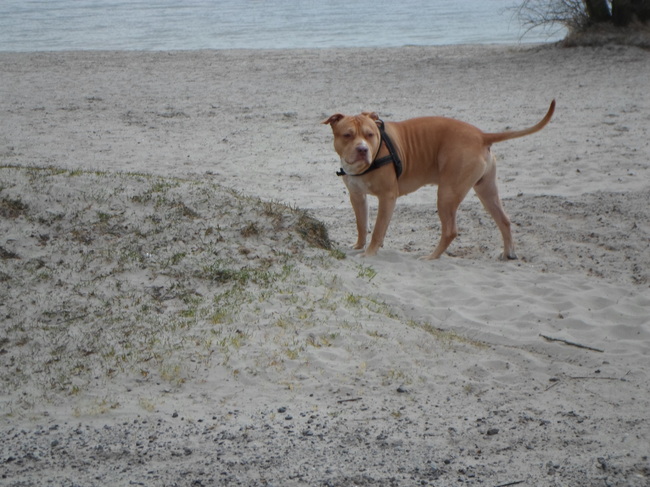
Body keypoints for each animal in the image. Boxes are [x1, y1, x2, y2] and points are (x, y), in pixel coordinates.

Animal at [322, 100, 555, 259]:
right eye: (347, 135)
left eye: (370, 134)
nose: (362, 149)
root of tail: (481, 135)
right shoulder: (357, 196)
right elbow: (361, 224)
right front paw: (358, 246)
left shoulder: (387, 197)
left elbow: (378, 230)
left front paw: (369, 253)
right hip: (486, 191)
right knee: (504, 220)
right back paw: (508, 253)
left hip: (447, 194)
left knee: (450, 231)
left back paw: (431, 257)